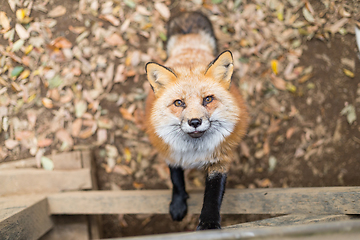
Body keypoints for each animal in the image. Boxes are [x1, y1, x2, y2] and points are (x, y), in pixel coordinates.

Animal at [145, 11, 249, 231]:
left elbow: (213, 195)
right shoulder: (171, 153)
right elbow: (176, 181)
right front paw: (178, 205)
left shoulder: (220, 160)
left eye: (207, 99)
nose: (194, 122)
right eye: (179, 103)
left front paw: (209, 223)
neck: (195, 152)